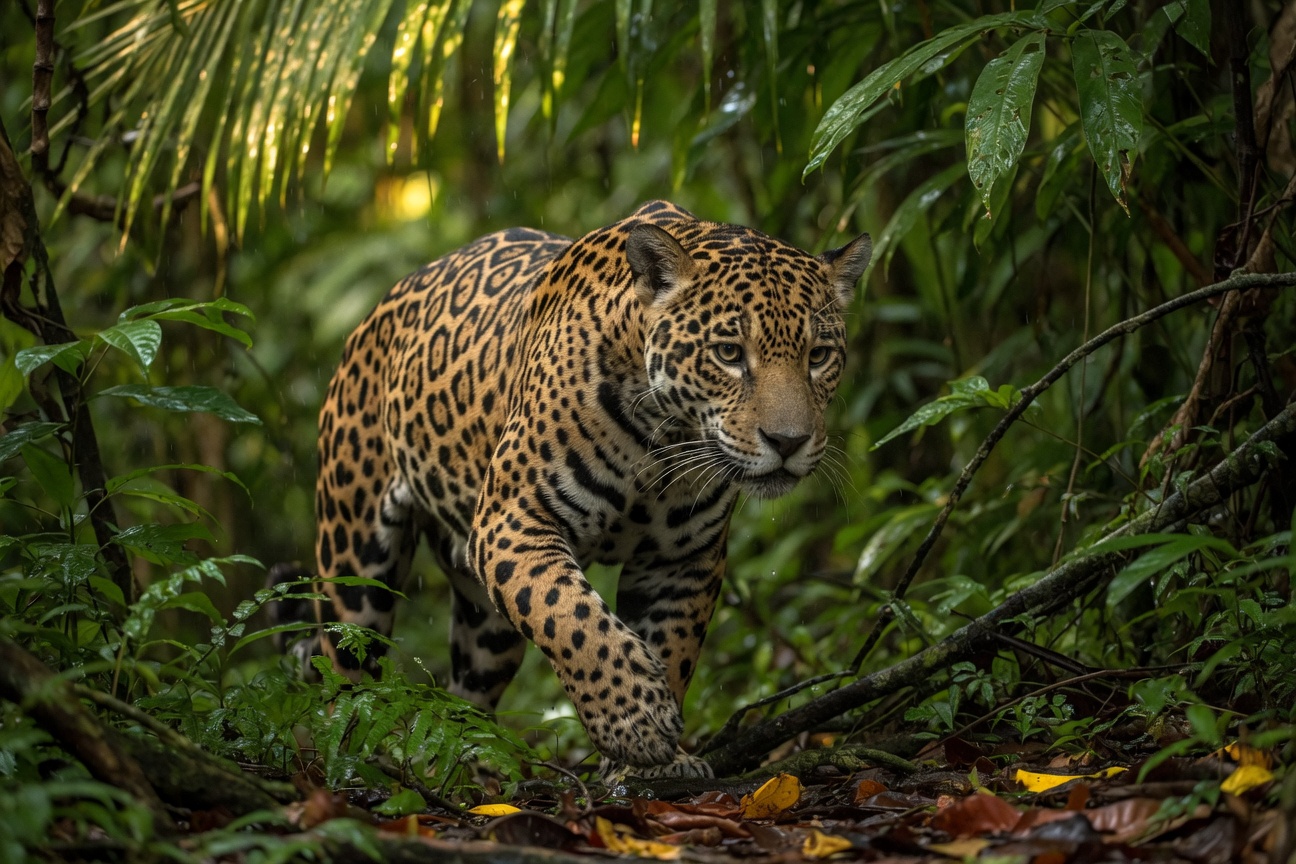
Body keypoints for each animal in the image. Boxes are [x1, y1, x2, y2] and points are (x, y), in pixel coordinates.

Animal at [289, 200, 871, 777]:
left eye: (818, 356)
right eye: (728, 353)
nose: (788, 441)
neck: (663, 440)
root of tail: (377, 310)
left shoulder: (684, 559)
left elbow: (671, 647)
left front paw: (654, 763)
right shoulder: (512, 519)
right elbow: (567, 613)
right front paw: (635, 721)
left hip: (485, 630)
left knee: (467, 697)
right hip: (354, 567)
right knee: (343, 677)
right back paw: (347, 766)